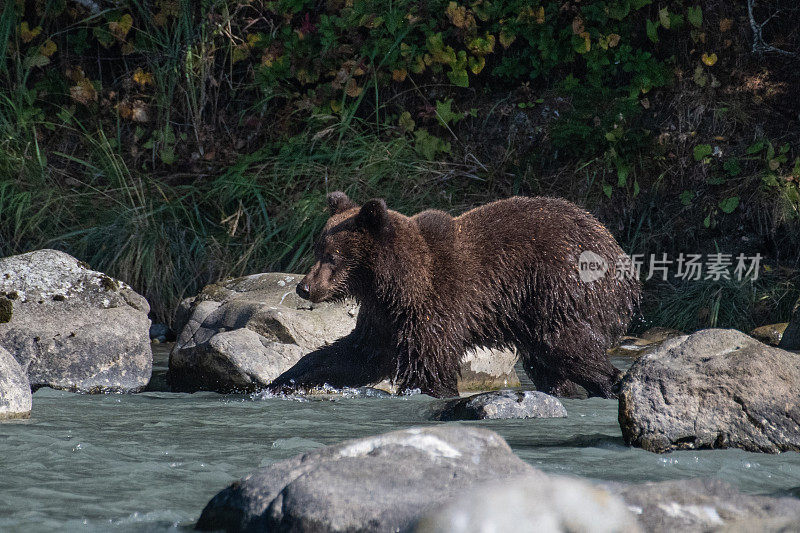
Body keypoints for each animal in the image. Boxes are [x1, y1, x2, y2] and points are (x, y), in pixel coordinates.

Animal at [272, 193, 640, 396]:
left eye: (333, 256)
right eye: (317, 249)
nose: (304, 286)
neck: (393, 284)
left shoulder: (434, 307)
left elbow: (429, 367)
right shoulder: (384, 318)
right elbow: (353, 355)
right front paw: (283, 379)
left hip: (558, 290)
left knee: (567, 346)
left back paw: (612, 382)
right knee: (549, 361)